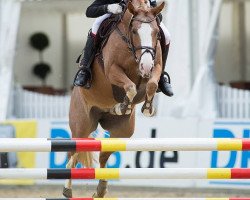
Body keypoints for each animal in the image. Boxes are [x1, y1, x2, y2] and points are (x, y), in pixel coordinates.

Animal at [64, 0, 165, 197]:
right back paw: (67, 189)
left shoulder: (156, 65)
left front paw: (147, 107)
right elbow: (130, 86)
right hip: (82, 124)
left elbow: (151, 84)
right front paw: (123, 106)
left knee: (104, 155)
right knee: (74, 152)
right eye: (134, 31)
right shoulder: (112, 70)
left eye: (156, 32)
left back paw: (101, 190)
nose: (145, 66)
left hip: (123, 131)